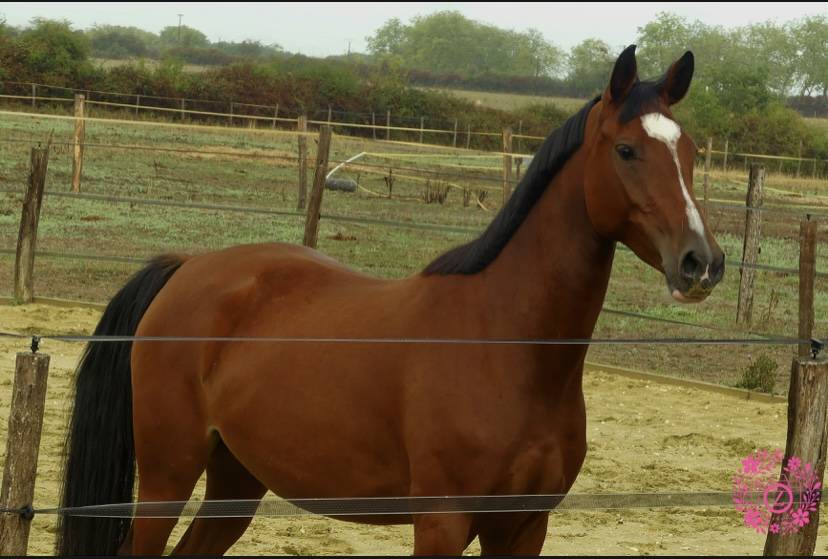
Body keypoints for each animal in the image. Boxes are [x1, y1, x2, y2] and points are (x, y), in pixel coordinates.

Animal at [57, 45, 725, 556]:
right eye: (626, 151)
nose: (702, 262)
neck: (506, 343)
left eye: (691, 153)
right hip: (167, 477)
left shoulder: (523, 526)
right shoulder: (442, 523)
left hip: (236, 481)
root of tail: (188, 267)